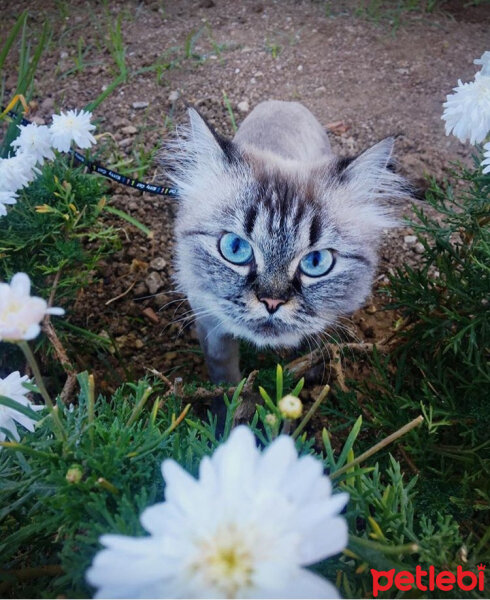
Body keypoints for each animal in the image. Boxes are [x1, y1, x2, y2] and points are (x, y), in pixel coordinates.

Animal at [165, 100, 410, 382]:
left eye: (316, 262)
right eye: (235, 249)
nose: (272, 302)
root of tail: (285, 103)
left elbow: (311, 348)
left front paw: (308, 378)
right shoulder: (210, 323)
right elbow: (223, 372)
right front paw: (227, 396)